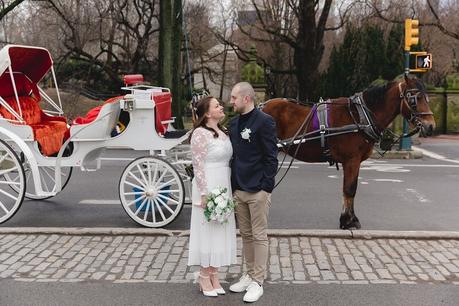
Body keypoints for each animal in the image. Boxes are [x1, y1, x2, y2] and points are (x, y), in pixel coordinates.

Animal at [260, 76, 436, 230]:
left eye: (427, 98)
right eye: (414, 99)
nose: (431, 126)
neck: (360, 117)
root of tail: (261, 106)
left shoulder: (354, 161)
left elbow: (349, 189)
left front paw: (348, 219)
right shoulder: (351, 160)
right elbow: (350, 189)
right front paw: (348, 221)